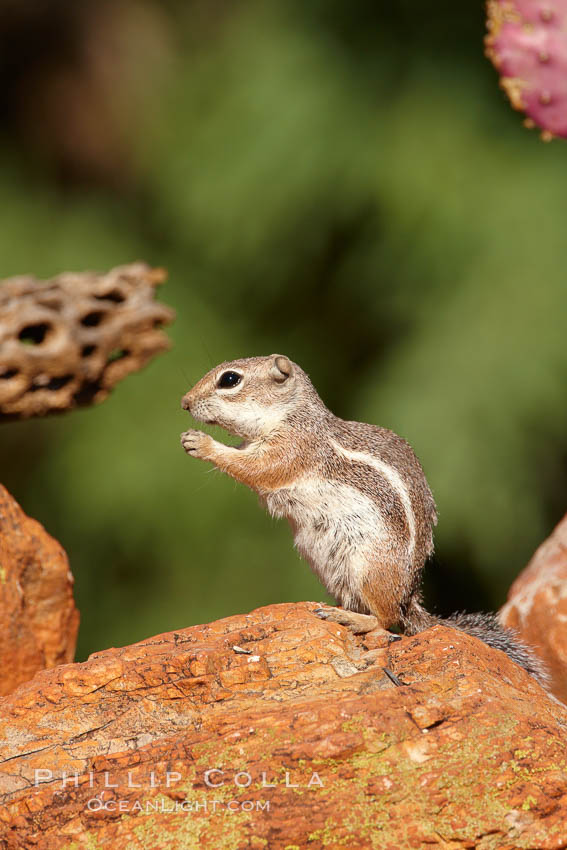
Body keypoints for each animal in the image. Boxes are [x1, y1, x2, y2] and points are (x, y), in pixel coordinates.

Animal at [180, 352, 548, 684]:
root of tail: (408, 597)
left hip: (370, 569)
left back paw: (350, 619)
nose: (184, 402)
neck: (292, 414)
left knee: (385, 619)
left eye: (230, 379)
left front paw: (202, 443)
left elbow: (255, 468)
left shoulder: (294, 449)